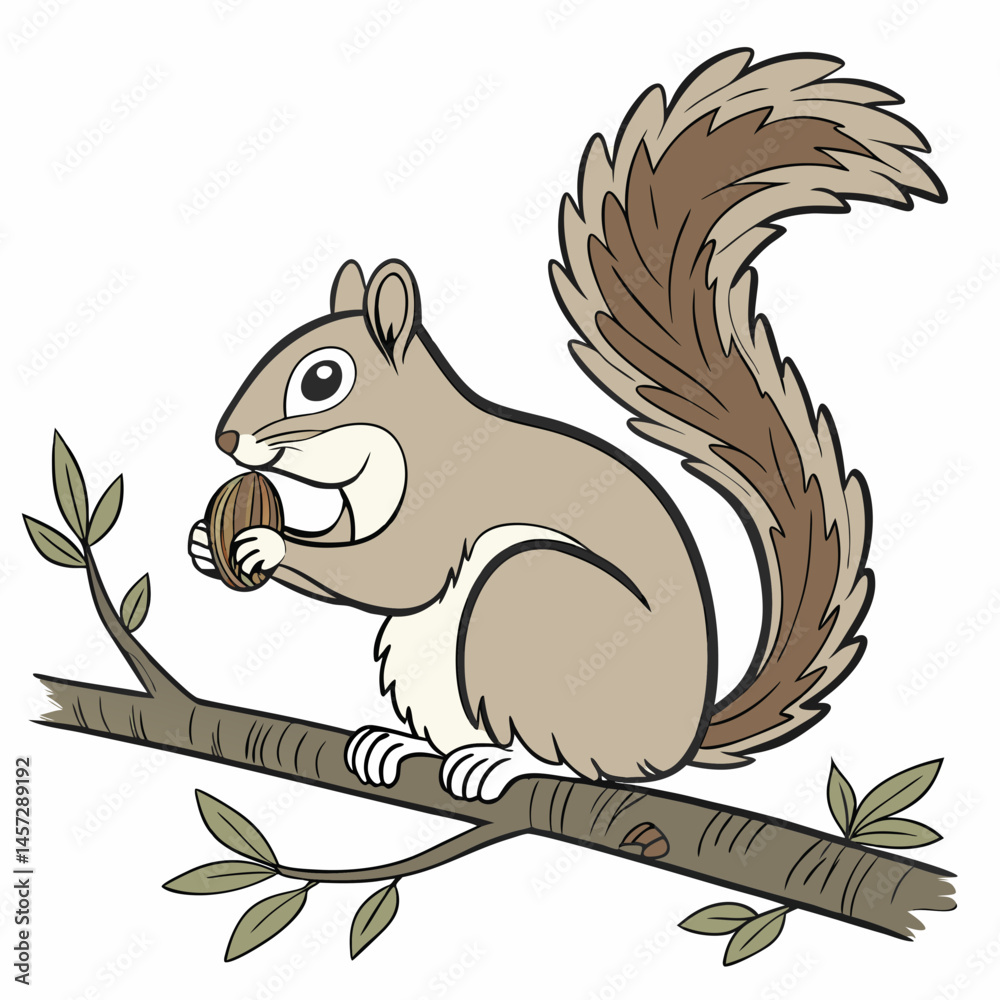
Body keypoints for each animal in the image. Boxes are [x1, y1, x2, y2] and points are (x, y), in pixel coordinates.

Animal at [189, 50, 944, 802]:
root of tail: (681, 741)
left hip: (528, 593)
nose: (225, 440)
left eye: (322, 380)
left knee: (575, 755)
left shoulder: (445, 503)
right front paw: (206, 542)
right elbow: (348, 551)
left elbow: (393, 573)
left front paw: (265, 542)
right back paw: (397, 744)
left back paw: (501, 762)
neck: (396, 449)